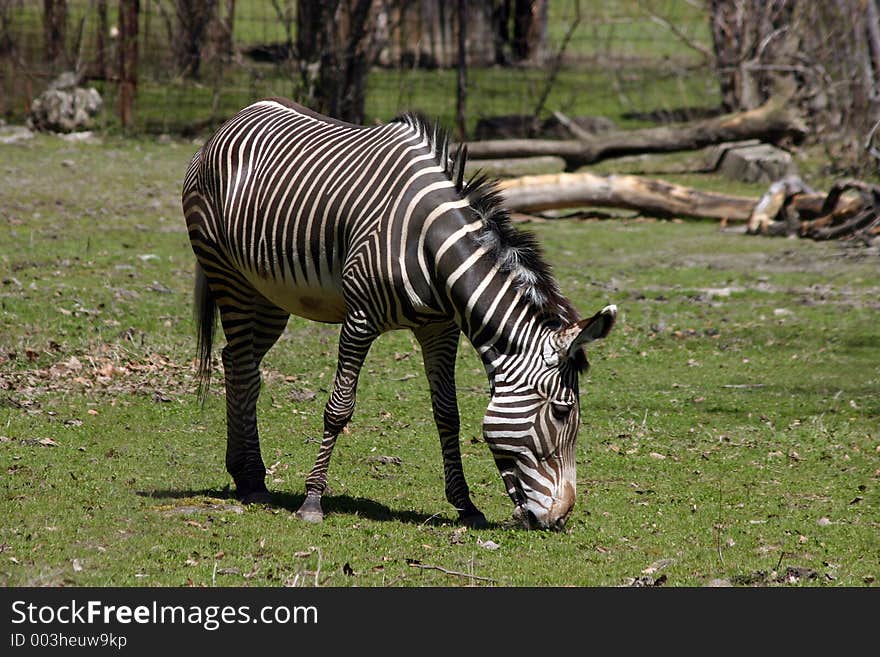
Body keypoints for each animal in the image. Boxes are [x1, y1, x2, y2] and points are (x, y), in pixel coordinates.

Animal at [182, 97, 616, 528]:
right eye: (561, 412)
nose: (560, 519)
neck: (432, 248)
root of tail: (239, 115)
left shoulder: (440, 329)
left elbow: (448, 413)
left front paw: (466, 506)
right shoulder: (359, 320)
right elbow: (338, 409)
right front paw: (312, 500)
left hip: (270, 295)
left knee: (239, 362)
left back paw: (245, 475)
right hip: (227, 274)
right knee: (242, 366)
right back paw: (253, 480)